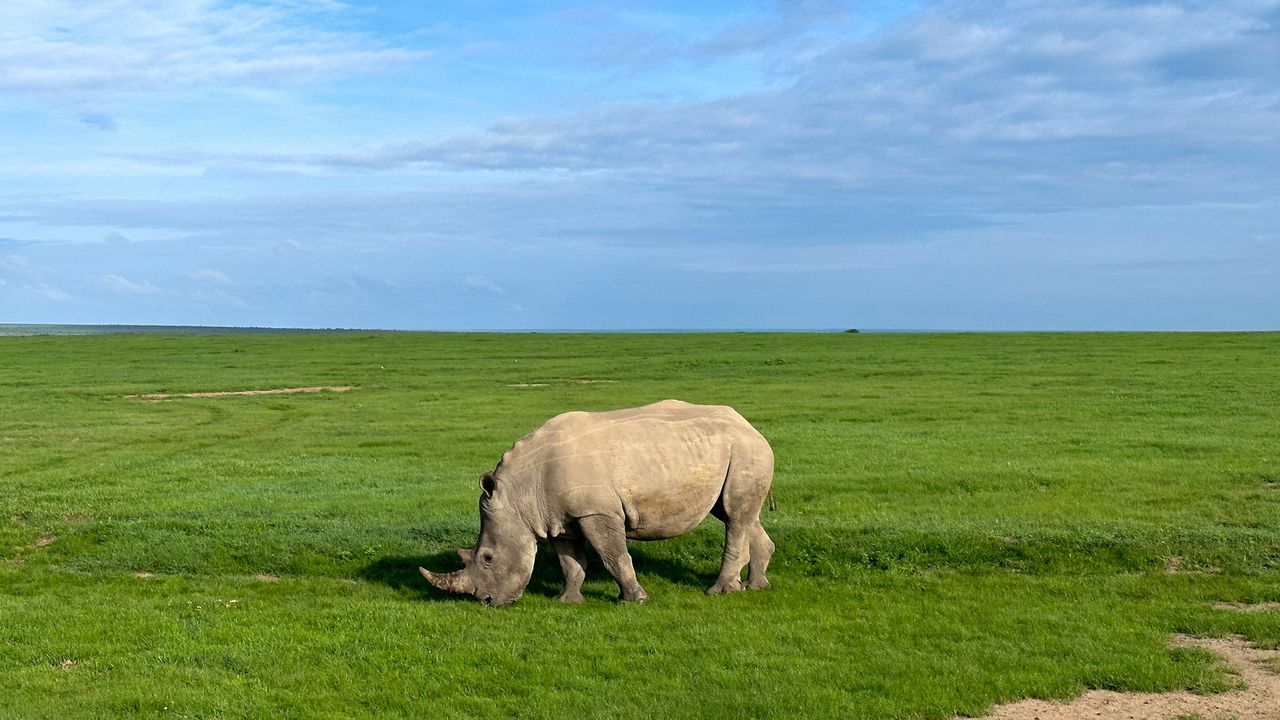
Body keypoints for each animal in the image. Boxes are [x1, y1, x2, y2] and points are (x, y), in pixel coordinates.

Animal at [420, 399, 775, 606]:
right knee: (738, 515)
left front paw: (634, 600)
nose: (485, 600)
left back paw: (720, 592)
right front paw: (566, 600)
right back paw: (755, 586)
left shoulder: (596, 511)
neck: (521, 496)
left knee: (734, 516)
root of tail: (749, 425)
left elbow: (613, 556)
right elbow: (570, 561)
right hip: (732, 450)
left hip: (746, 449)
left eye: (488, 558)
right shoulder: (556, 518)